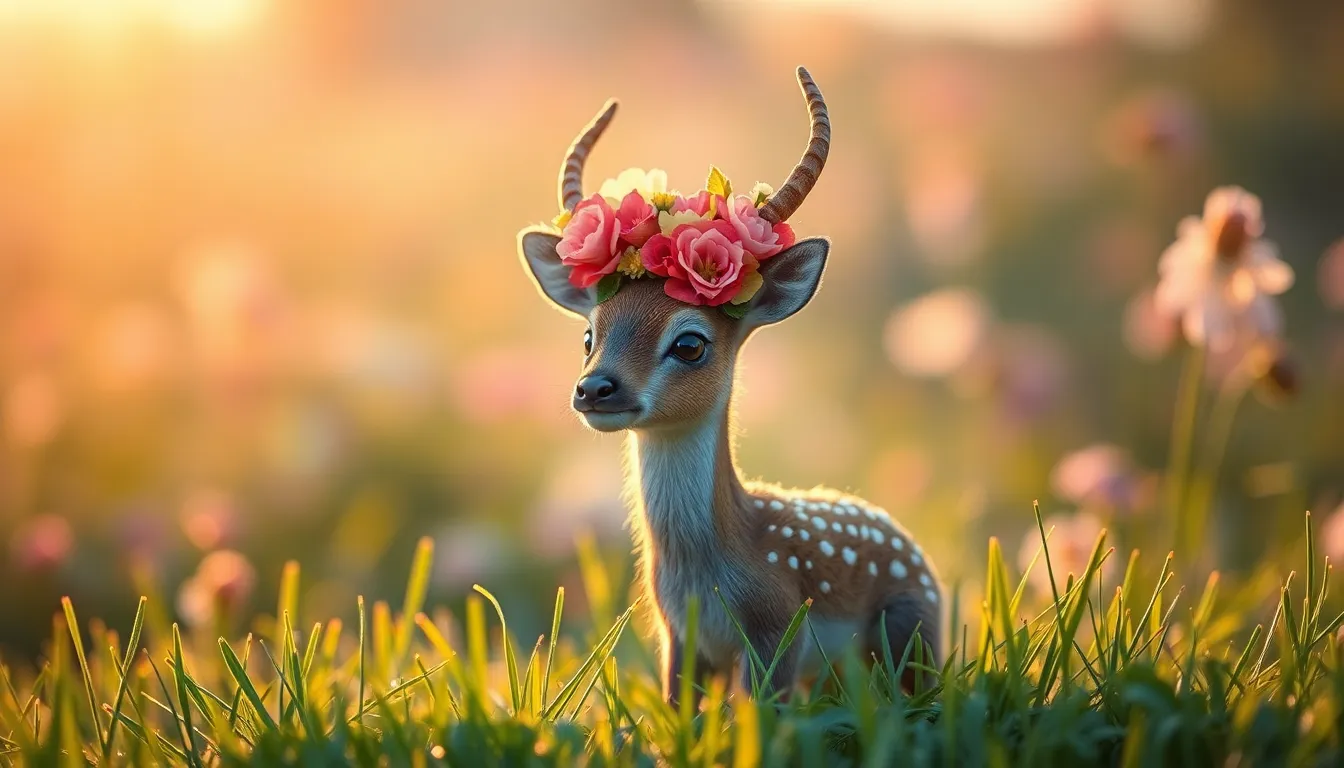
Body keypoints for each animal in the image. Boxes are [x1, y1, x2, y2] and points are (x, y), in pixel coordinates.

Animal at [517, 68, 942, 705]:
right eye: (589, 336)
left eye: (690, 343)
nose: (595, 389)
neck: (712, 569)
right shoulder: (677, 635)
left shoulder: (779, 627)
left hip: (911, 630)